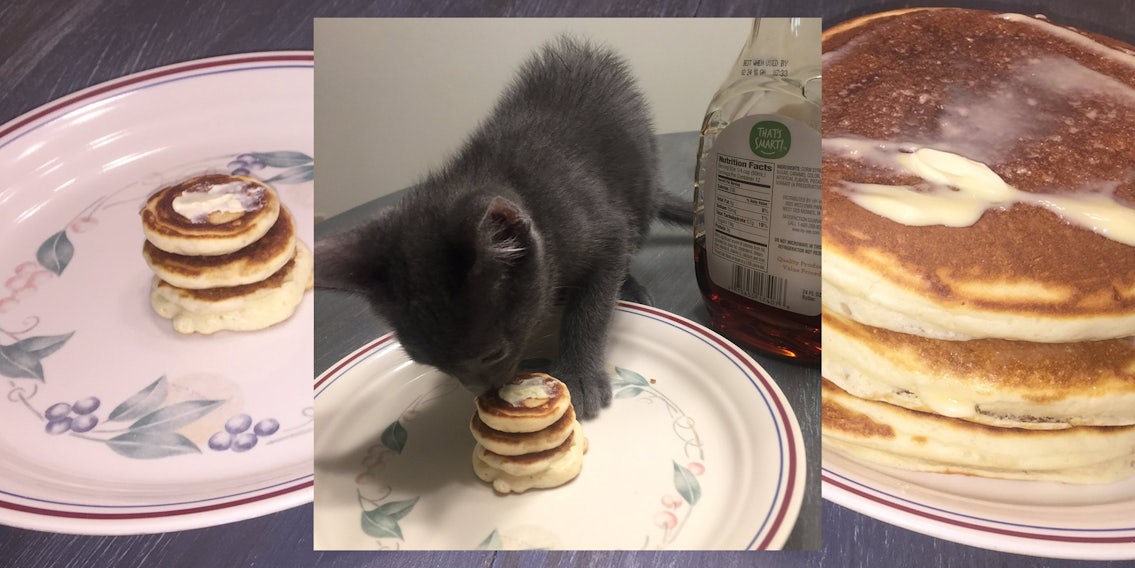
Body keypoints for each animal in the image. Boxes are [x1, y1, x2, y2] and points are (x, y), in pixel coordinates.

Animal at [320, 35, 690, 418]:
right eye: (434, 365)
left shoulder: (608, 229)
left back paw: (627, 286)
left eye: (493, 354)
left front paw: (578, 372)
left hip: (641, 185)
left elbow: (591, 306)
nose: (479, 390)